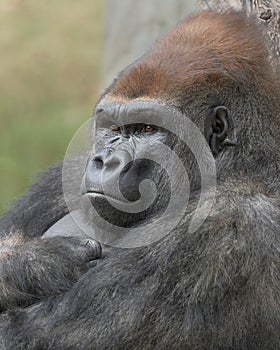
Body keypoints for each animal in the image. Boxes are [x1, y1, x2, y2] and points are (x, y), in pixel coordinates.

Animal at [0, 10, 280, 350]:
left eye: (148, 129)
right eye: (113, 128)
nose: (105, 160)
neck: (246, 164)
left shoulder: (226, 225)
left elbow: (20, 335)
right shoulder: (67, 173)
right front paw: (31, 262)